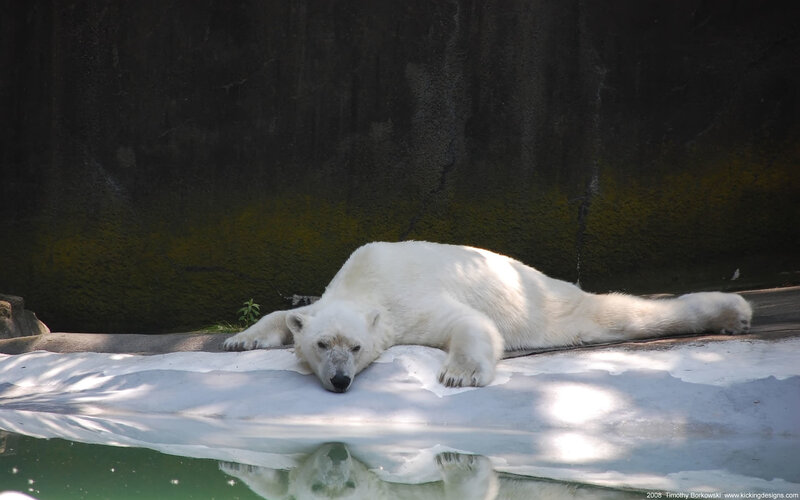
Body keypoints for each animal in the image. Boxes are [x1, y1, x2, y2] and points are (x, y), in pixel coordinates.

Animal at [224, 241, 752, 392]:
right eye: (321, 345)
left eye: (354, 347)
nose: (340, 380)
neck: (364, 278)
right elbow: (285, 313)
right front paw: (239, 340)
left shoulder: (405, 301)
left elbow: (469, 324)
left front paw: (458, 374)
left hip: (546, 304)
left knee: (617, 311)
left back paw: (734, 311)